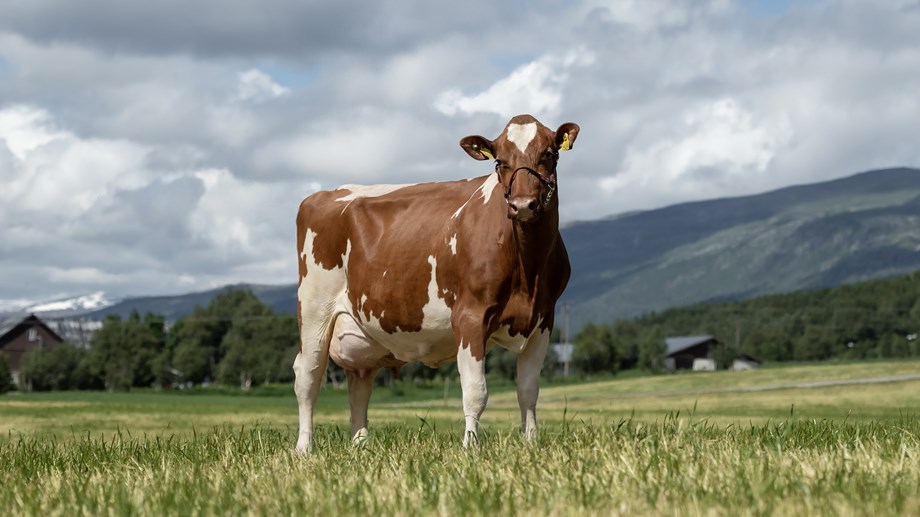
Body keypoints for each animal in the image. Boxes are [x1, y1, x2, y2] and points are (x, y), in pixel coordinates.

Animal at [294, 114, 580, 452]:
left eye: (548, 154)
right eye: (499, 161)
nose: (522, 205)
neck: (528, 270)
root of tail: (324, 194)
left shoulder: (543, 319)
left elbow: (528, 390)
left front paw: (530, 444)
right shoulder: (469, 315)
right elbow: (476, 391)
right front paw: (470, 446)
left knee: (360, 382)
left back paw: (361, 445)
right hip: (314, 309)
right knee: (308, 376)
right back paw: (304, 447)